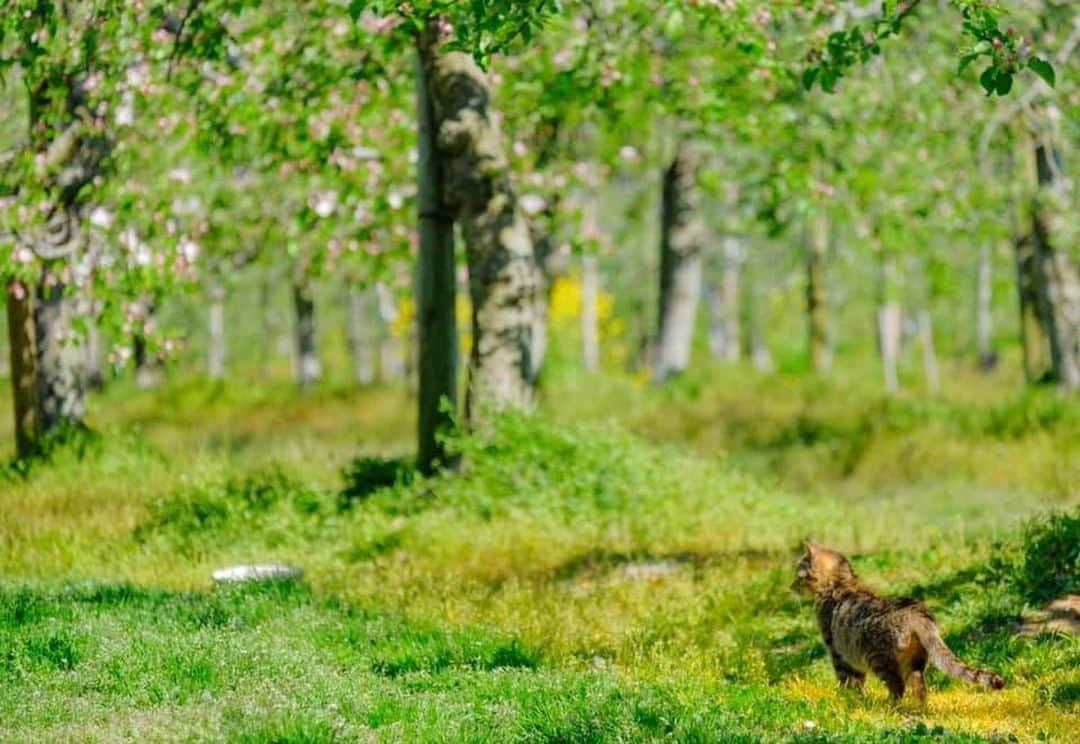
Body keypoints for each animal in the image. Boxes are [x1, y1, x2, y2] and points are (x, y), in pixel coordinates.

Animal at [786, 542, 1002, 699]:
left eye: (798, 577)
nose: (790, 586)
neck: (840, 580)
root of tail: (916, 613)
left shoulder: (836, 650)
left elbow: (846, 680)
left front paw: (848, 700)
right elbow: (857, 682)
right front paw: (858, 700)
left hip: (880, 659)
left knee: (897, 687)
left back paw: (890, 708)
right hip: (914, 663)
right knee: (920, 688)